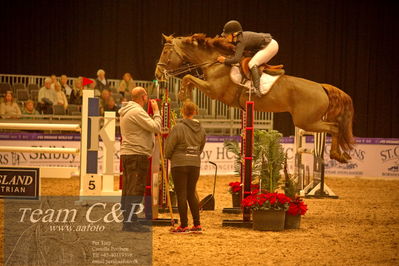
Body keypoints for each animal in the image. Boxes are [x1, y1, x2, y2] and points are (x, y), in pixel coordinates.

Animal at [155, 33, 354, 162]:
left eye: (165, 52)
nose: (157, 73)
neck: (215, 63)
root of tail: (321, 87)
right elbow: (189, 79)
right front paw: (186, 99)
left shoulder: (213, 90)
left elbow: (188, 78)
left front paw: (184, 97)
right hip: (308, 121)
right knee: (335, 128)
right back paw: (341, 155)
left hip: (306, 121)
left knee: (335, 127)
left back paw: (337, 155)